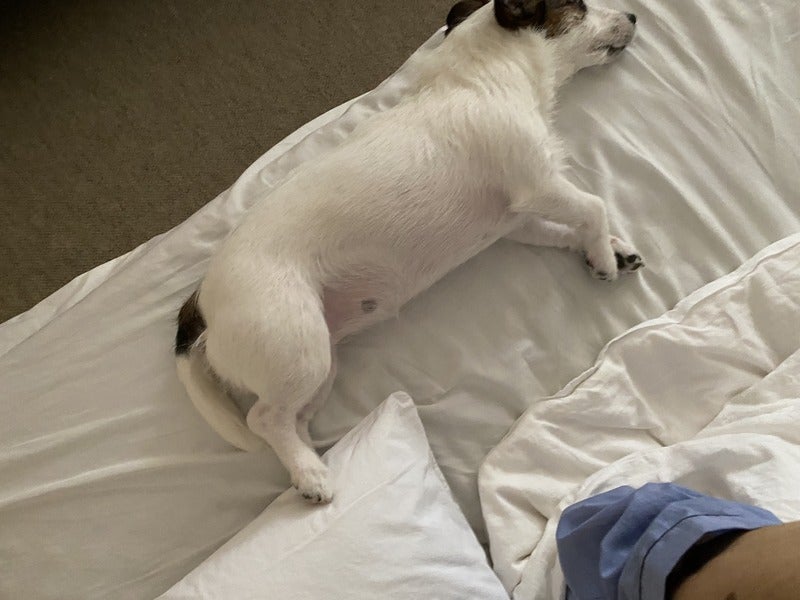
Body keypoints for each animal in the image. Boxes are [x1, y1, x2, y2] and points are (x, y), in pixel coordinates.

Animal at [175, 0, 641, 504]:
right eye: (579, 6)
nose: (636, 16)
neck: (485, 75)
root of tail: (202, 302)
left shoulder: (518, 223)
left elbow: (568, 228)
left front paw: (608, 250)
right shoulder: (538, 186)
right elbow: (593, 207)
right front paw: (603, 255)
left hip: (319, 364)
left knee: (289, 419)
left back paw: (305, 460)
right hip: (297, 349)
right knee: (262, 419)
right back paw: (311, 475)